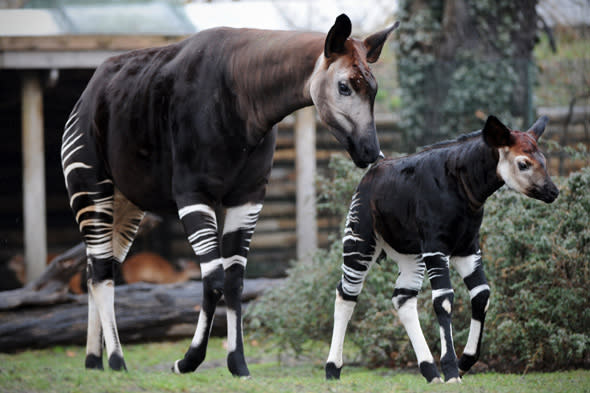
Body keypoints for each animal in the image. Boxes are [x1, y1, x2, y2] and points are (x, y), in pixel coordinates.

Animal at [61, 15, 402, 376]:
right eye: (344, 87)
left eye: (374, 91)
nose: (371, 152)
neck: (245, 100)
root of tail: (89, 91)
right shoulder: (192, 191)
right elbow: (213, 279)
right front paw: (188, 361)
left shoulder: (248, 195)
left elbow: (235, 280)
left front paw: (237, 363)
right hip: (91, 185)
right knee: (101, 272)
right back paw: (116, 359)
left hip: (127, 202)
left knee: (97, 268)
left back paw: (94, 360)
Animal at [326, 115, 560, 382]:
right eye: (523, 164)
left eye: (543, 161)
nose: (554, 192)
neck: (464, 188)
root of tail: (373, 169)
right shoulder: (437, 248)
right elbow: (444, 300)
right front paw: (451, 370)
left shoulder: (467, 248)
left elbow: (482, 295)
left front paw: (463, 362)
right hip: (361, 240)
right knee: (347, 293)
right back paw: (332, 369)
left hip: (410, 255)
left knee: (402, 298)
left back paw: (430, 370)